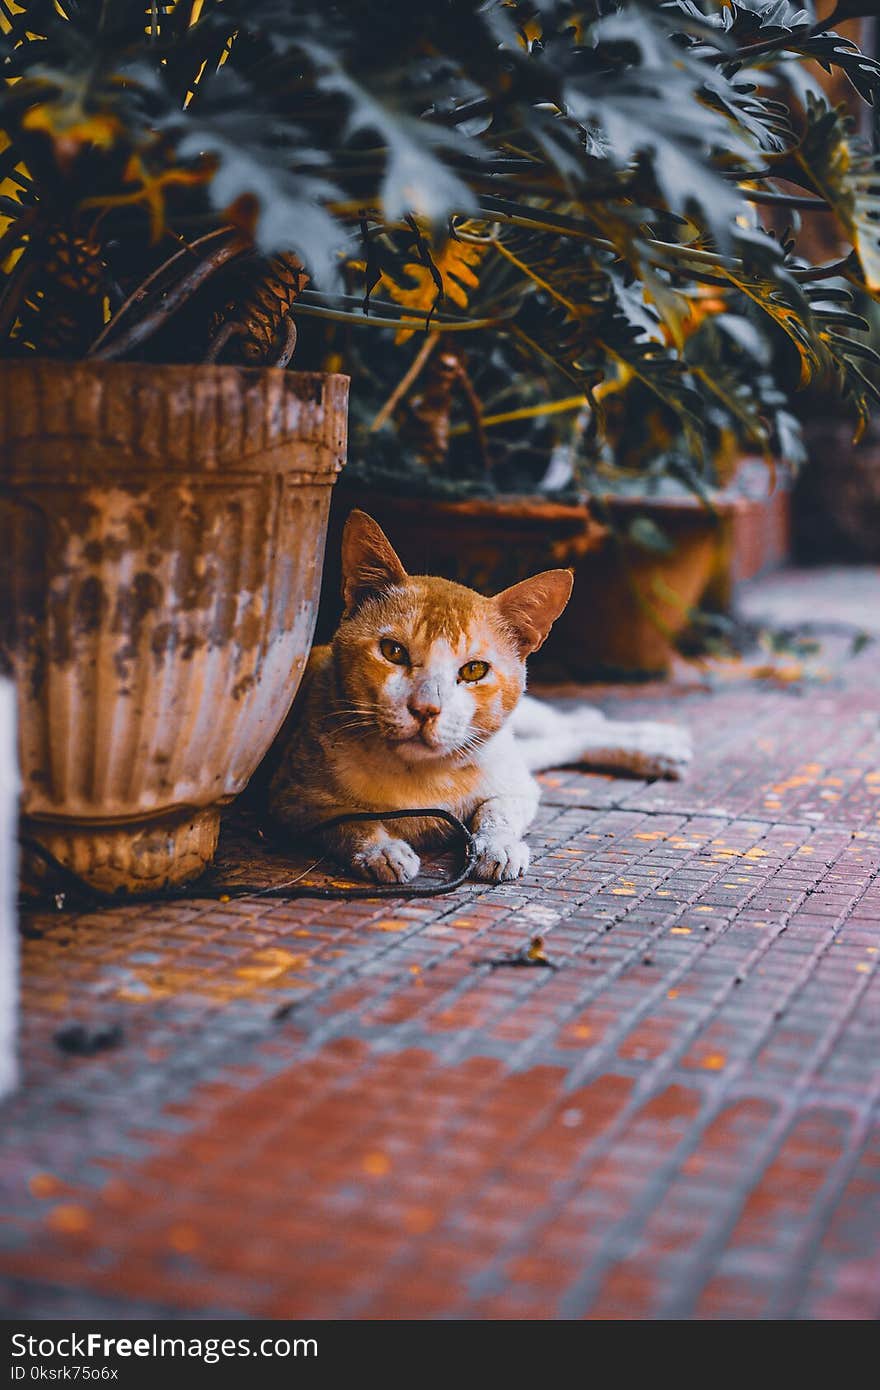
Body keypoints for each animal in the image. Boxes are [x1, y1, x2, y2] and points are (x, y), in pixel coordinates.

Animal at [271, 508, 689, 878]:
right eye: (393, 652)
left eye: (474, 670)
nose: (426, 708)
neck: (423, 776)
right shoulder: (293, 802)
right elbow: (348, 821)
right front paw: (381, 849)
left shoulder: (515, 786)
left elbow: (497, 811)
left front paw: (498, 845)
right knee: (567, 738)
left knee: (567, 727)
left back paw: (657, 744)